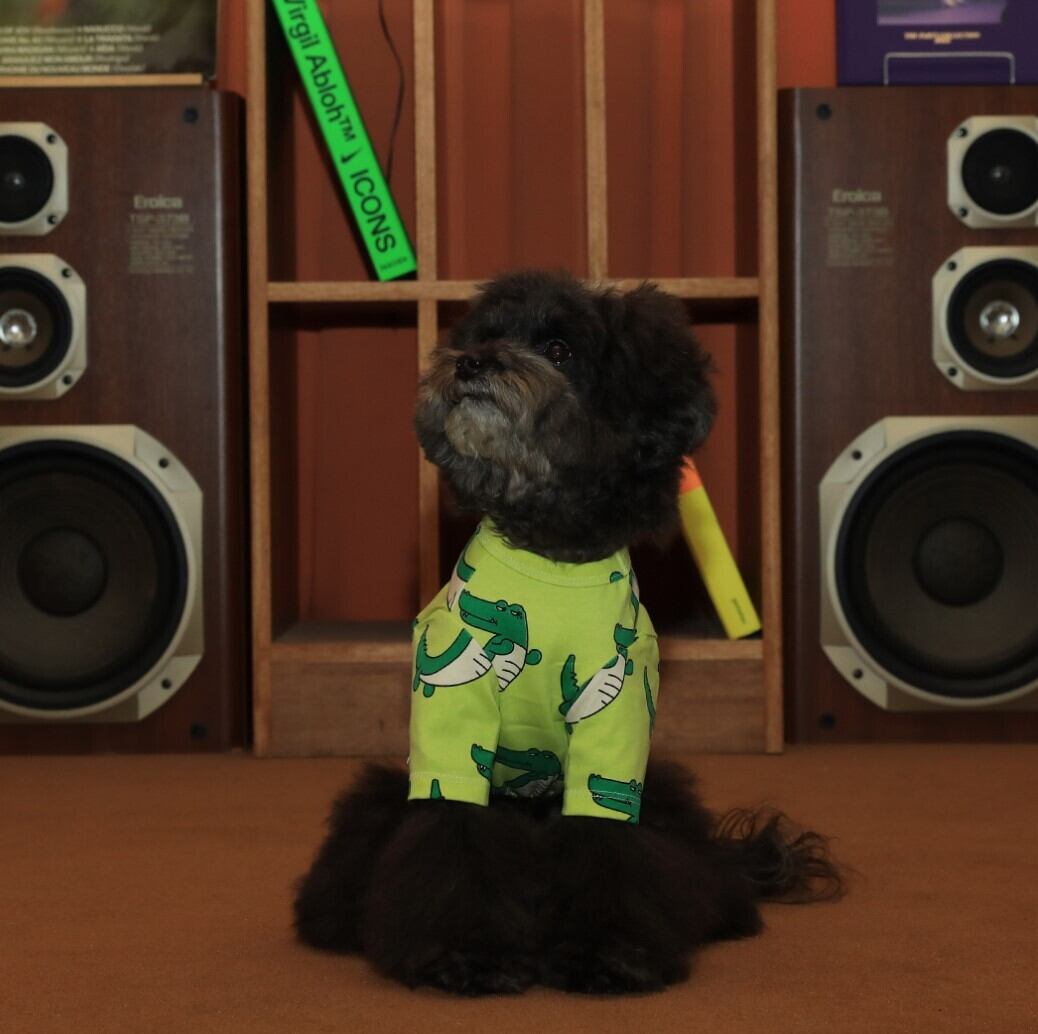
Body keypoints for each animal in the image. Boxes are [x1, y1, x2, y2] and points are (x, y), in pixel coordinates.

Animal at [293, 270, 843, 995]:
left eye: (558, 348)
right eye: (486, 333)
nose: (470, 363)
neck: (548, 550)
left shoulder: (615, 740)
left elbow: (607, 846)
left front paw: (608, 952)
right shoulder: (453, 733)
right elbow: (453, 835)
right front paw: (466, 954)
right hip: (388, 794)